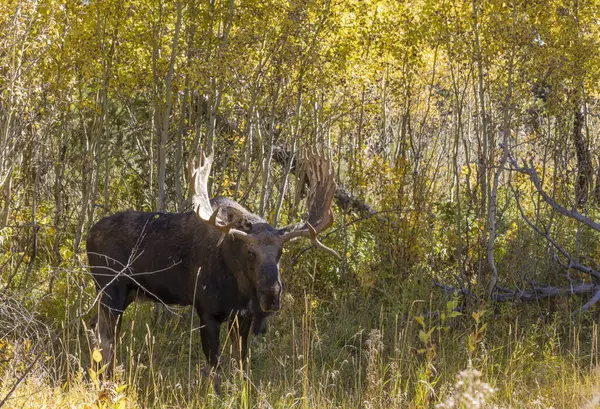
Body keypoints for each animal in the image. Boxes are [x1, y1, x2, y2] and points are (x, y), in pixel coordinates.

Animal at [85, 149, 338, 376]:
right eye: (250, 252)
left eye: (280, 252)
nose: (271, 295)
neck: (239, 286)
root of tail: (88, 235)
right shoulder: (206, 311)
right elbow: (215, 369)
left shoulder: (242, 316)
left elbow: (241, 365)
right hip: (111, 291)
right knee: (105, 339)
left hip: (121, 296)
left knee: (97, 332)